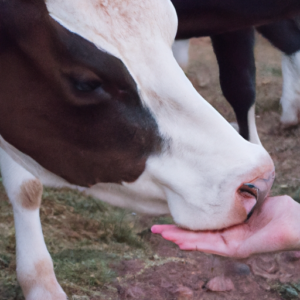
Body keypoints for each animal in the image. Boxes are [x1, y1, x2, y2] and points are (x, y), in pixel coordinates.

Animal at [1, 0, 296, 298]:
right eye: (86, 83)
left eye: (170, 28)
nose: (261, 180)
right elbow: (27, 189)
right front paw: (41, 284)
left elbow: (242, 85)